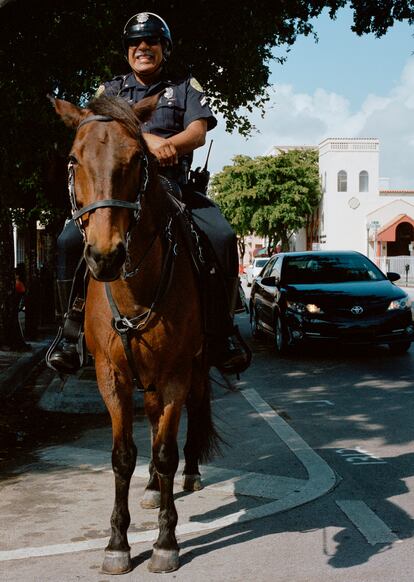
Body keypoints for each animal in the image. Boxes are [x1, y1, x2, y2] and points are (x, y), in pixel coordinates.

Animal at [51, 94, 220, 576]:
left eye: (137, 160)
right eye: (74, 159)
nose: (106, 255)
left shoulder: (176, 374)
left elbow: (165, 452)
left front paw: (165, 542)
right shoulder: (112, 376)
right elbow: (123, 455)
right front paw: (117, 543)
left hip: (195, 367)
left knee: (190, 416)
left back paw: (188, 473)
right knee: (150, 421)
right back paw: (150, 490)